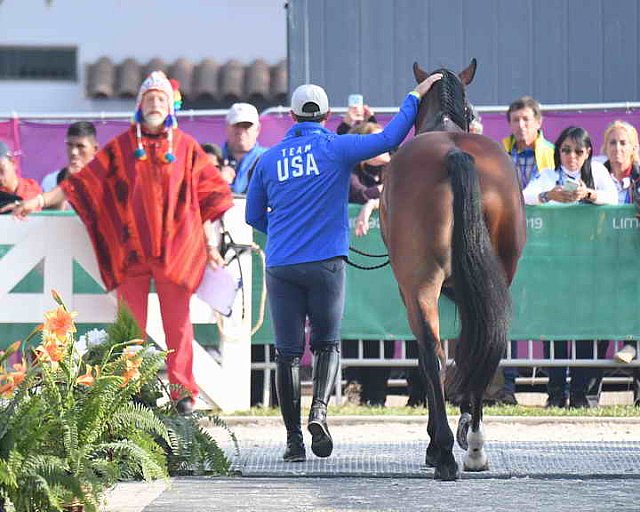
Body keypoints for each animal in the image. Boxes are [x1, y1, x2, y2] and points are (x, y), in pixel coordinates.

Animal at [380, 60, 524, 480]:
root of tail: (454, 154)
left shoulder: (410, 292)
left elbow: (436, 357)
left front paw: (436, 441)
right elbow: (463, 350)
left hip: (420, 286)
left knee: (432, 353)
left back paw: (444, 451)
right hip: (496, 280)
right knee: (485, 345)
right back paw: (475, 445)